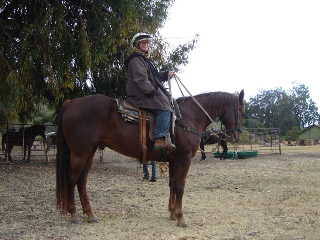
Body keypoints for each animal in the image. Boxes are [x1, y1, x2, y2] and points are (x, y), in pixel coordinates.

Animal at [55, 89, 245, 227]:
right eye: (241, 111)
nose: (236, 136)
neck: (189, 117)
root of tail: (72, 102)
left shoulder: (174, 161)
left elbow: (172, 185)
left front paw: (172, 212)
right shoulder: (184, 160)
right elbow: (180, 186)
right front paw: (181, 217)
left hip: (90, 151)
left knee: (81, 181)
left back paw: (90, 214)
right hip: (80, 152)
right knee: (71, 179)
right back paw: (74, 214)